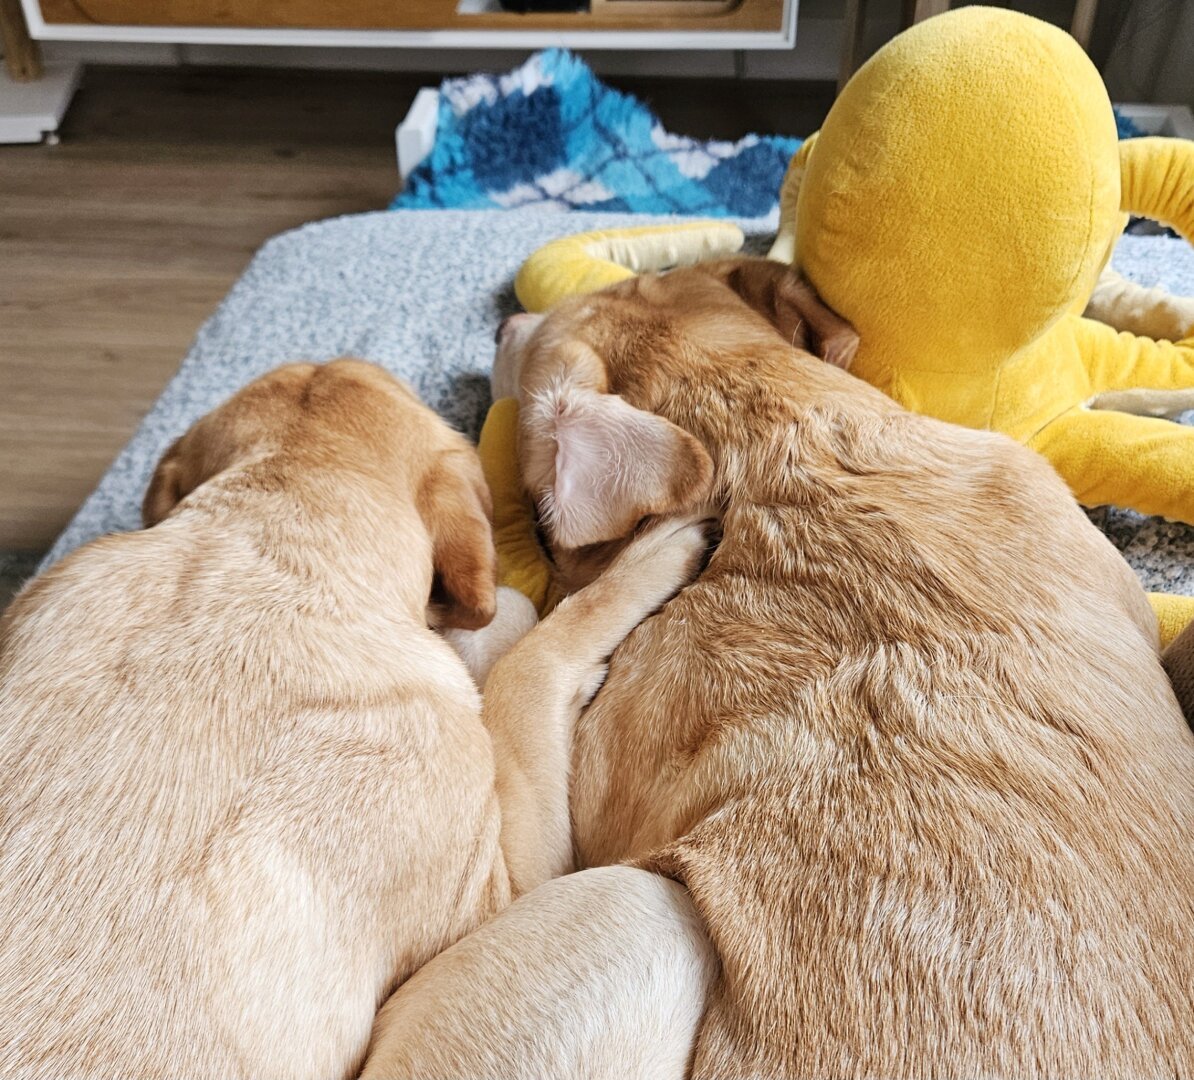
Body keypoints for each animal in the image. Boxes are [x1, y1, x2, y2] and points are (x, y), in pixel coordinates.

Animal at [362, 263, 1194, 1078]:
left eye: (543, 326)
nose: (501, 321)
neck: (783, 440)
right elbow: (532, 650)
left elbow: (533, 652)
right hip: (638, 906)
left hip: (636, 907)